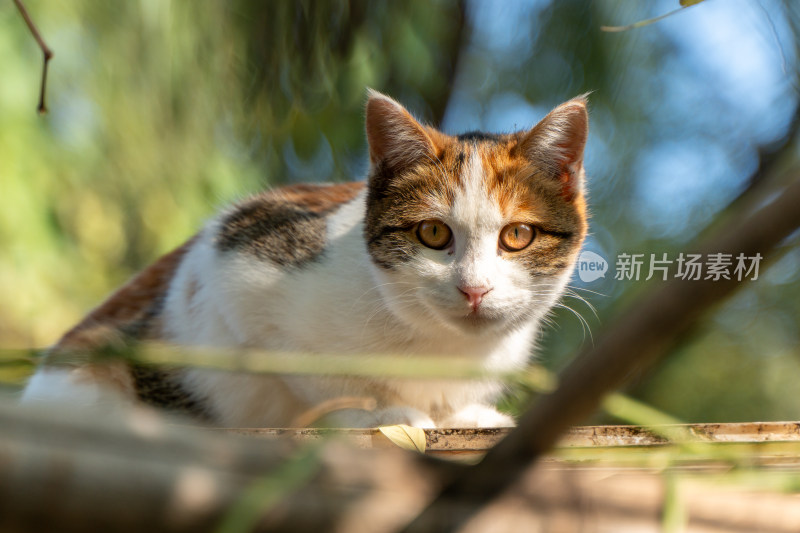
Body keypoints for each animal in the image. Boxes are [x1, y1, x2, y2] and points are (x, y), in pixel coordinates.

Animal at [21, 88, 592, 428]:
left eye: (517, 235)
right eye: (433, 233)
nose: (474, 289)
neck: (441, 347)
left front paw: (463, 415)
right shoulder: (234, 258)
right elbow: (315, 374)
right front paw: (384, 413)